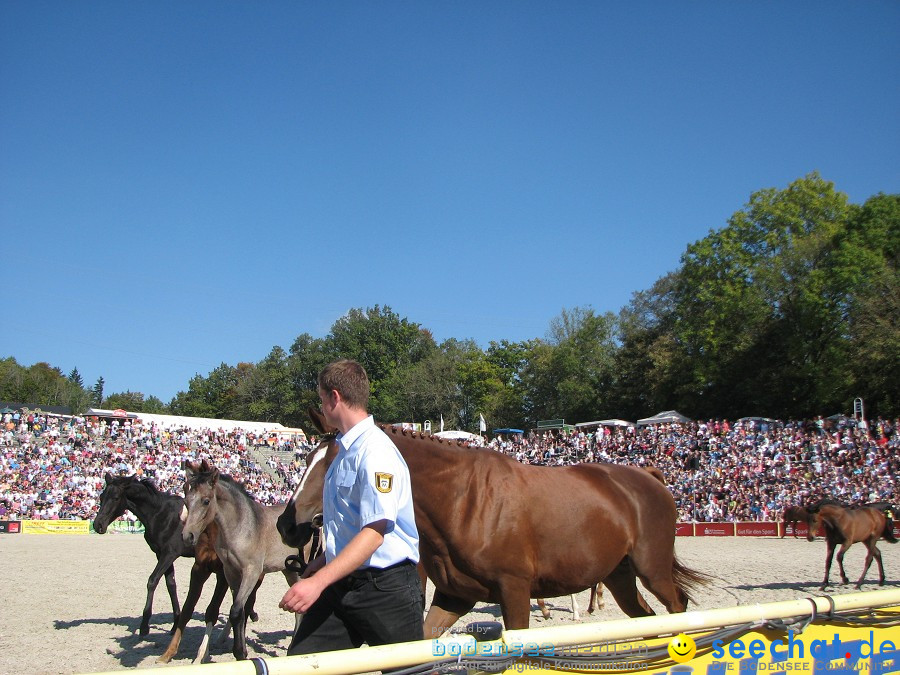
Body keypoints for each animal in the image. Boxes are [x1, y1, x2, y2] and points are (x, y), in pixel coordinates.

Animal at [278, 410, 708, 636]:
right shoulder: (454, 597)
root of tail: (649, 477)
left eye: (338, 466)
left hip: (651, 569)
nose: (286, 523)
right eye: (305, 458)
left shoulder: (514, 592)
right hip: (619, 575)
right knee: (645, 618)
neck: (463, 500)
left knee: (678, 606)